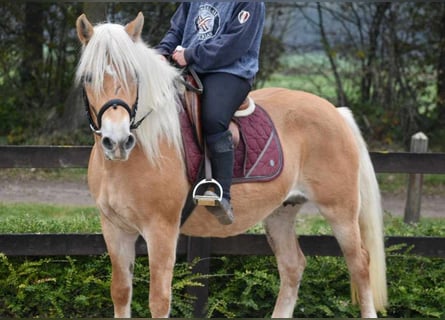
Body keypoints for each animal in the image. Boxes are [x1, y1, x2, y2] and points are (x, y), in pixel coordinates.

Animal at [74, 11, 386, 318]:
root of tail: (335, 112)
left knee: (360, 264)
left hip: (340, 211)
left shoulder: (161, 231)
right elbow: (120, 292)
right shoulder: (115, 229)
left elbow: (159, 301)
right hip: (281, 212)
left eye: (134, 75)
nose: (117, 141)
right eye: (88, 77)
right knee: (293, 266)